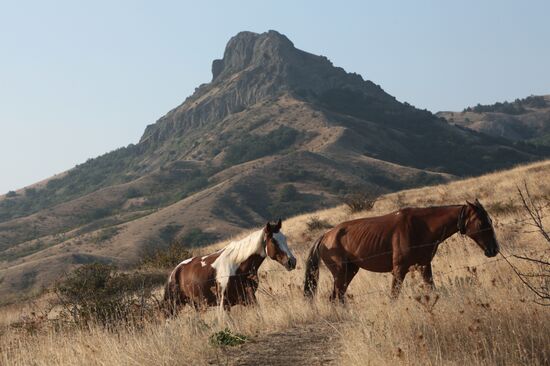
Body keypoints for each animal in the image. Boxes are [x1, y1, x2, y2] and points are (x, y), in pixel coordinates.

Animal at [164, 219, 298, 314]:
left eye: (284, 238)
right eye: (273, 241)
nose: (292, 261)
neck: (237, 268)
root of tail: (174, 272)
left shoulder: (249, 299)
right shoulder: (224, 304)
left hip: (197, 305)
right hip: (174, 306)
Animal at [304, 202, 502, 302]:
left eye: (490, 220)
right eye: (482, 222)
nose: (494, 249)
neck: (421, 227)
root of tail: (326, 236)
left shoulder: (424, 266)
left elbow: (432, 288)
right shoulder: (399, 270)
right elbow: (394, 296)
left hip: (350, 271)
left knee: (338, 297)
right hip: (341, 272)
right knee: (336, 297)